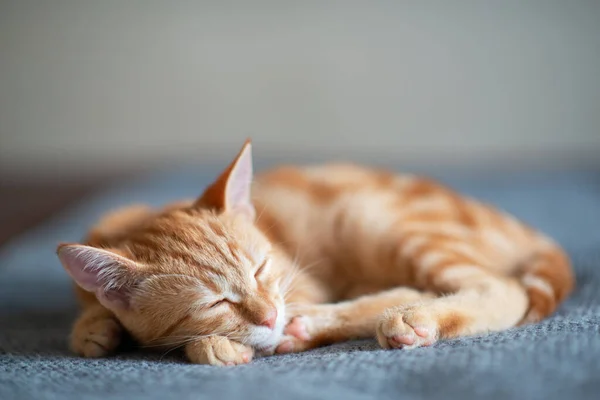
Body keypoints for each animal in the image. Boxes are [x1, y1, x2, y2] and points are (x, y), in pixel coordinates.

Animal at [55, 141, 572, 366]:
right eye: (216, 302)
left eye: (262, 269)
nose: (267, 316)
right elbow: (91, 306)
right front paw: (94, 327)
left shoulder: (296, 283)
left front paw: (216, 345)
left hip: (376, 219)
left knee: (498, 289)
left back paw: (405, 317)